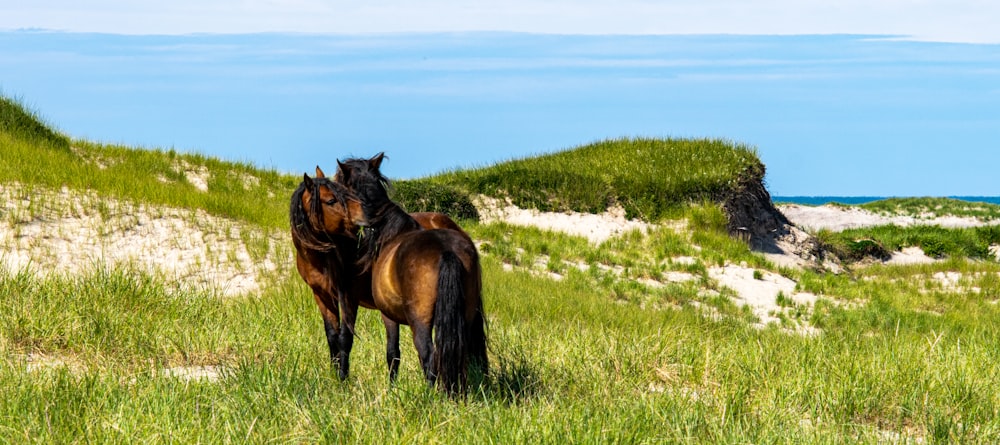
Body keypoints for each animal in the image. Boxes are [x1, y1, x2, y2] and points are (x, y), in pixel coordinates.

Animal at [338, 153, 490, 396]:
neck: (390, 231)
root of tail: (446, 251)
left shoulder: (388, 316)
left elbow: (393, 353)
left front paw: (392, 389)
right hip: (464, 318)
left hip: (420, 321)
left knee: (428, 355)